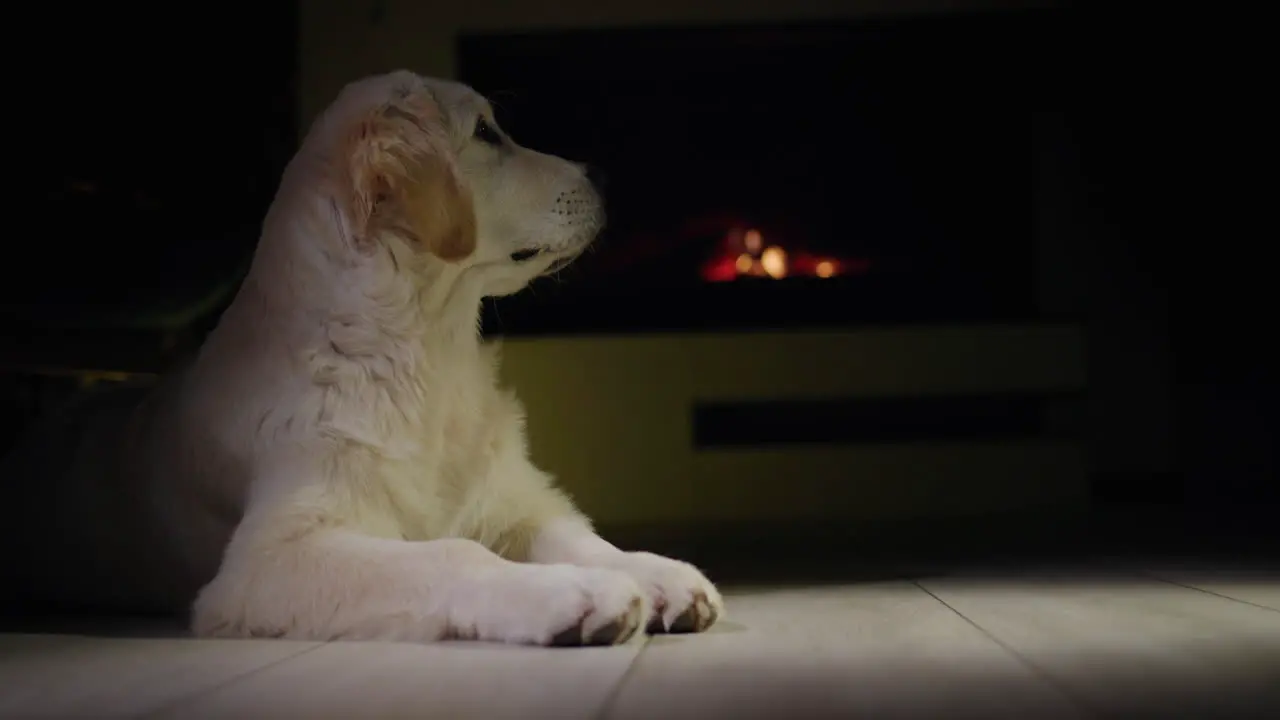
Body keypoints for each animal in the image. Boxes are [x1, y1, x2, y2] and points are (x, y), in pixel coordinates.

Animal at [0, 71, 721, 645]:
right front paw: (572, 592)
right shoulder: (273, 555)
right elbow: (452, 553)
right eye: (487, 132)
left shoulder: (510, 500)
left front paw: (658, 572)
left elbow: (574, 531)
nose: (604, 175)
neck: (426, 351)